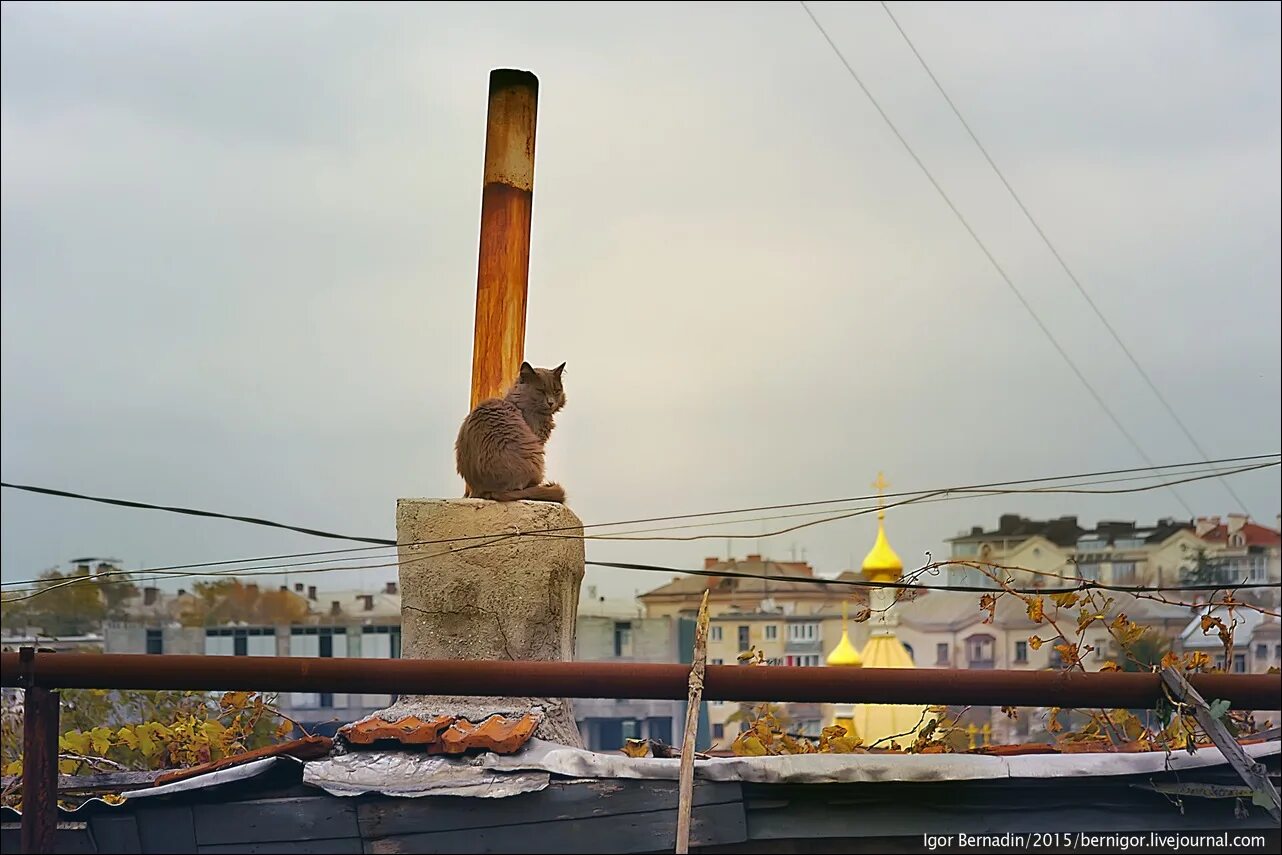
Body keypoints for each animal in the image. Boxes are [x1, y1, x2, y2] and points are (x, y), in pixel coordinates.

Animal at [456, 358, 566, 502]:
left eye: (556, 391)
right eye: (540, 390)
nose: (551, 402)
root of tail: (491, 490)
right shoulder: (537, 437)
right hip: (536, 455)